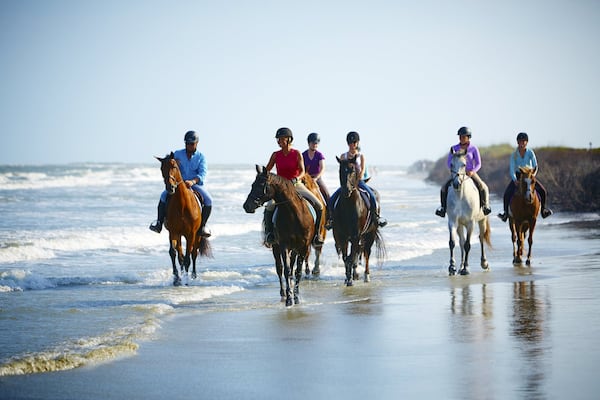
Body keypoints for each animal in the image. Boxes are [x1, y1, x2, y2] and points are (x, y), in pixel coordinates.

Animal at [157, 152, 211, 286]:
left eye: (174, 166)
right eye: (162, 169)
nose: (170, 188)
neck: (182, 204)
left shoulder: (191, 234)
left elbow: (188, 257)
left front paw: (186, 280)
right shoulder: (173, 232)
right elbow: (173, 253)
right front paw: (177, 278)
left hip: (197, 236)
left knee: (193, 254)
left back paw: (193, 276)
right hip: (180, 235)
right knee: (180, 255)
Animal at [241, 166, 324, 306]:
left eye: (261, 185)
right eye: (252, 185)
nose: (246, 206)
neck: (294, 214)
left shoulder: (303, 247)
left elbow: (297, 271)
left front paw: (296, 296)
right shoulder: (284, 245)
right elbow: (286, 270)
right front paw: (289, 298)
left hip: (295, 248)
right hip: (276, 247)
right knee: (279, 268)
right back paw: (283, 293)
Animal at [332, 155, 384, 284]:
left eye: (353, 170)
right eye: (340, 170)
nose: (346, 190)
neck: (349, 205)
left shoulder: (356, 235)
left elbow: (352, 257)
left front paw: (350, 278)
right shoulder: (342, 236)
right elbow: (346, 257)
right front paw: (348, 277)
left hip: (370, 233)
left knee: (366, 253)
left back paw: (366, 275)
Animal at [446, 148, 492, 276]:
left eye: (464, 165)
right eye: (451, 164)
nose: (456, 184)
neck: (460, 196)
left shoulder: (471, 223)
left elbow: (468, 245)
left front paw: (466, 269)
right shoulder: (452, 222)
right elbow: (452, 243)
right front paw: (452, 267)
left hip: (482, 221)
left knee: (481, 238)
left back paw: (484, 263)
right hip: (460, 225)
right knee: (461, 242)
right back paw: (460, 266)